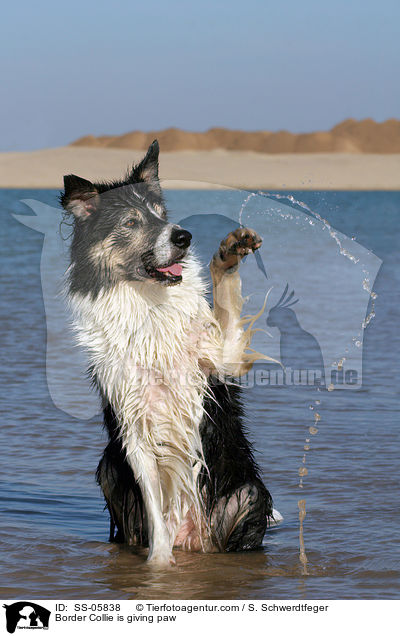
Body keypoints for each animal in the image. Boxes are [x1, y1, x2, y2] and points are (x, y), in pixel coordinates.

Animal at [61, 140, 274, 568]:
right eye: (131, 222)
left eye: (162, 215)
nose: (183, 237)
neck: (149, 303)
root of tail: (194, 541)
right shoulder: (134, 426)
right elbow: (156, 513)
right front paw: (157, 569)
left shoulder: (222, 360)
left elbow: (225, 304)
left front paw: (228, 255)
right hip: (110, 469)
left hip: (246, 493)